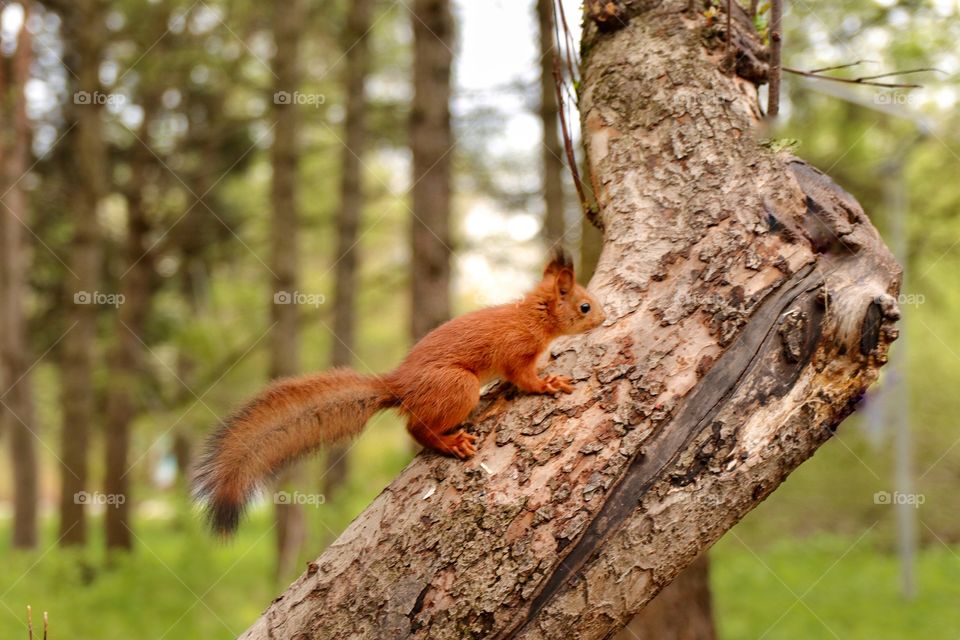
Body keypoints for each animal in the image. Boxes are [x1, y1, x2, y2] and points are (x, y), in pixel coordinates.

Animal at [191, 249, 604, 536]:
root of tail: (399, 385)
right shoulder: (516, 351)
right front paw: (548, 384)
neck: (533, 316)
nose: (604, 318)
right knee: (415, 429)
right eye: (585, 306)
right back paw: (449, 443)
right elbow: (524, 378)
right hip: (459, 387)